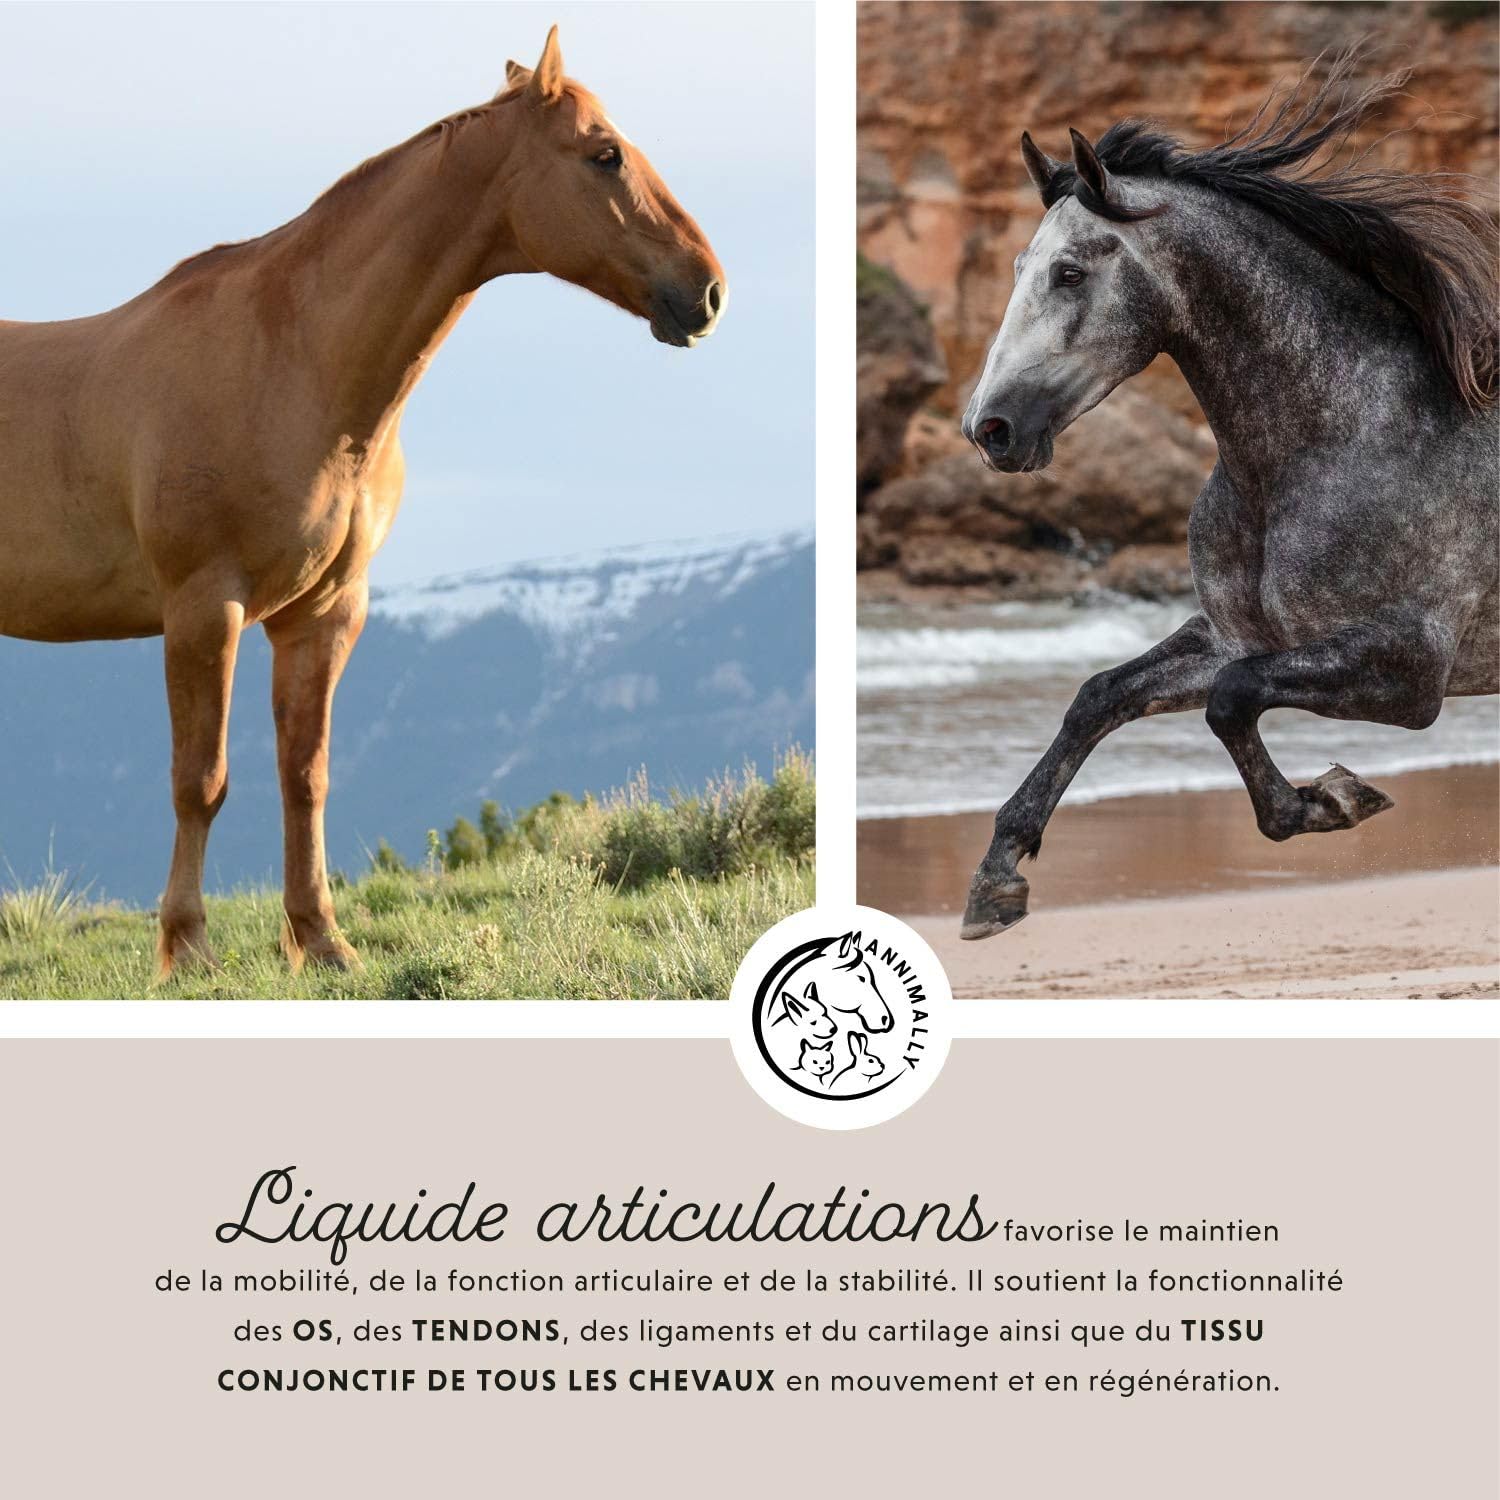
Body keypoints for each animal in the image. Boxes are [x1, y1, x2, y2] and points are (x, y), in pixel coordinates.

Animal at [0, 27, 725, 977]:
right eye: (604, 153)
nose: (707, 290)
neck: (292, 361)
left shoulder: (323, 613)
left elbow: (304, 777)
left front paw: (320, 941)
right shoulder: (204, 609)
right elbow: (200, 779)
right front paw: (187, 949)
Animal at [956, 53, 1498, 940]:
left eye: (1069, 273)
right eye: (1015, 271)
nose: (989, 428)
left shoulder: (1410, 669)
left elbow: (1230, 701)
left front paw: (1334, 799)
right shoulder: (1239, 635)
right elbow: (1100, 696)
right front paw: (997, 878)